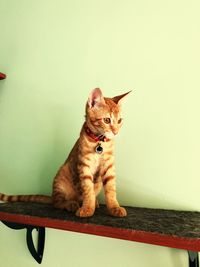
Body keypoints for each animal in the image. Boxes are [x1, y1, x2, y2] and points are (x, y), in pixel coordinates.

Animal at [0, 88, 130, 218]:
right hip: (61, 176)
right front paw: (88, 208)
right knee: (58, 202)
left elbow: (111, 189)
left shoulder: (109, 166)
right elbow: (87, 189)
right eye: (107, 120)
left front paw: (114, 207)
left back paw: (93, 202)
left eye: (119, 121)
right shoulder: (84, 166)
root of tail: (52, 197)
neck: (98, 142)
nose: (116, 132)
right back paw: (71, 204)